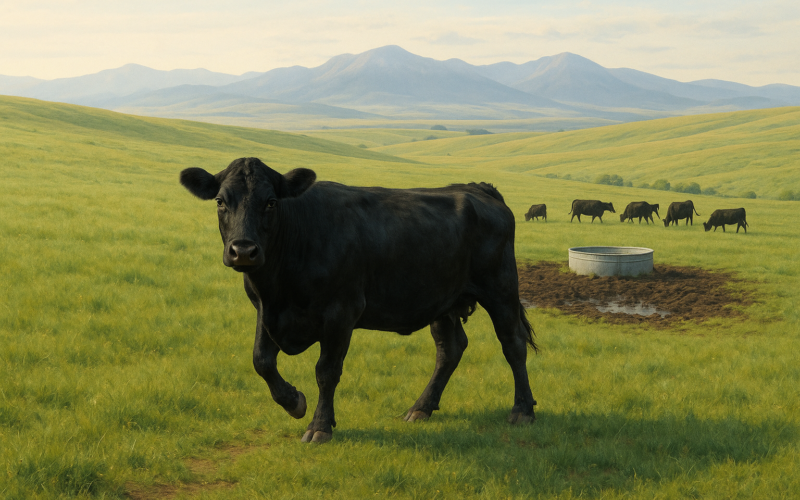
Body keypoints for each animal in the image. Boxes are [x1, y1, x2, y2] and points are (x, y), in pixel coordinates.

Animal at [179, 158, 538, 444]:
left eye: (270, 202)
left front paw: (320, 426)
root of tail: (478, 188)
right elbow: (261, 361)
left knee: (513, 344)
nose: (243, 250)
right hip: (443, 300)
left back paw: (523, 410)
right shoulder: (265, 311)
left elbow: (326, 371)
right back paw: (421, 408)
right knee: (449, 350)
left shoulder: (341, 312)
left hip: (501, 289)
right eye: (220, 201)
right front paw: (294, 401)